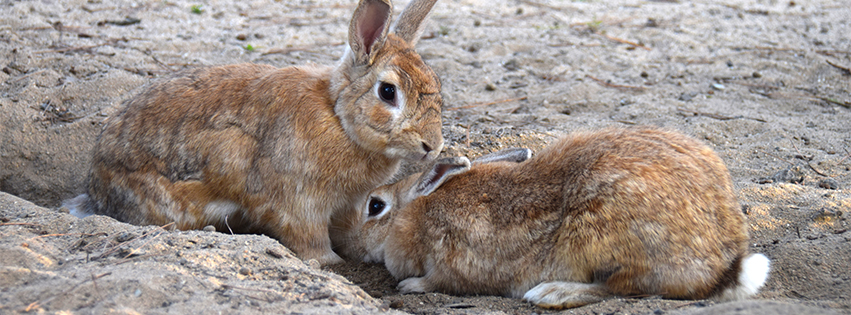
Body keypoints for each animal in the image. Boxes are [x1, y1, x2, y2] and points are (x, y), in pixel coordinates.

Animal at [70, 0, 446, 266]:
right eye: (388, 92)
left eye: (437, 85)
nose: (433, 145)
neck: (338, 119)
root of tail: (95, 190)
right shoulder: (298, 202)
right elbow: (307, 237)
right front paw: (330, 262)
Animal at [346, 125, 772, 308]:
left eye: (375, 206)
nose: (349, 246)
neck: (417, 214)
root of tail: (726, 264)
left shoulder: (456, 261)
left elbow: (440, 281)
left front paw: (410, 287)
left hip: (604, 238)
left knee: (624, 287)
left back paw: (551, 294)